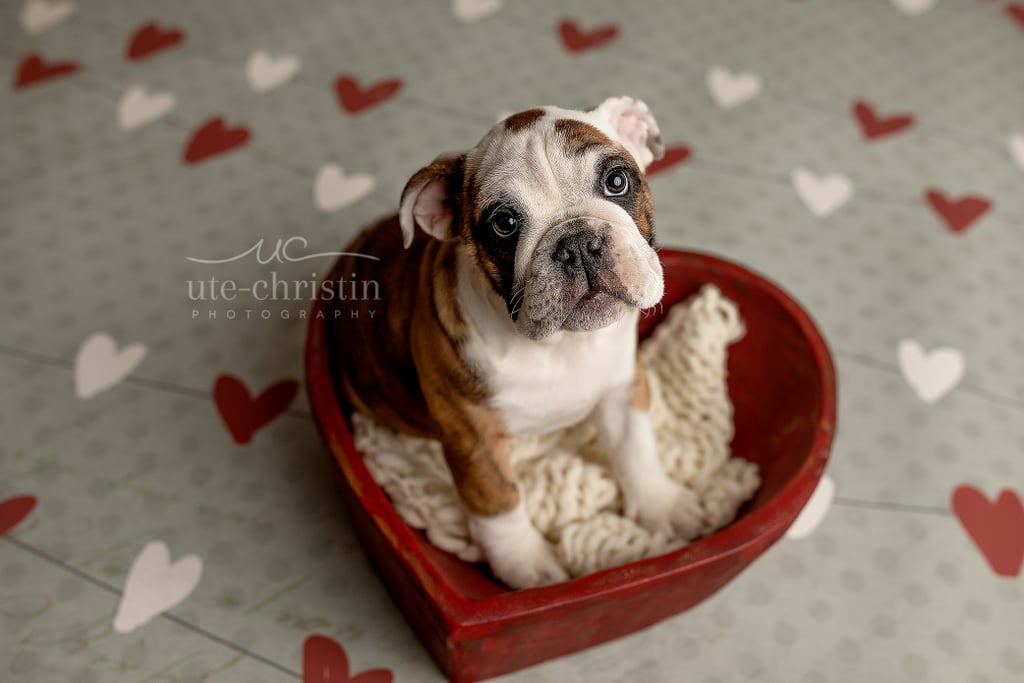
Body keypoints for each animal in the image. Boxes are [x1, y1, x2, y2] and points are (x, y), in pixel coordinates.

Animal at [327, 94, 704, 589]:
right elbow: (499, 503)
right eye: (504, 223)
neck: (559, 346)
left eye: (617, 181)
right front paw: (527, 564)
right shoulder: (474, 438)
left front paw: (663, 504)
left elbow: (634, 448)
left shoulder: (622, 390)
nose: (577, 243)